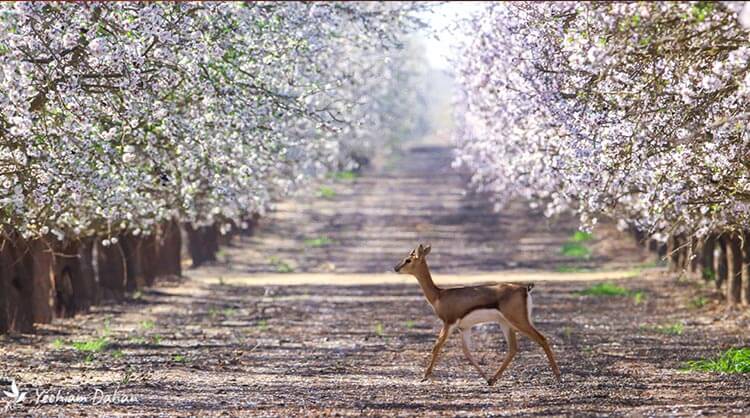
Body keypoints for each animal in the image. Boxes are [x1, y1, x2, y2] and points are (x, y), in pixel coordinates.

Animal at [396, 245, 560, 386]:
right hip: (506, 323)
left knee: (542, 339)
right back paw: (492, 379)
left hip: (519, 321)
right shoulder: (464, 328)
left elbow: (436, 346)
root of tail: (525, 289)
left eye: (408, 260)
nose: (396, 268)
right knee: (513, 348)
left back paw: (558, 376)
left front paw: (424, 377)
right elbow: (466, 352)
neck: (439, 296)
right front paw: (485, 378)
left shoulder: (449, 323)